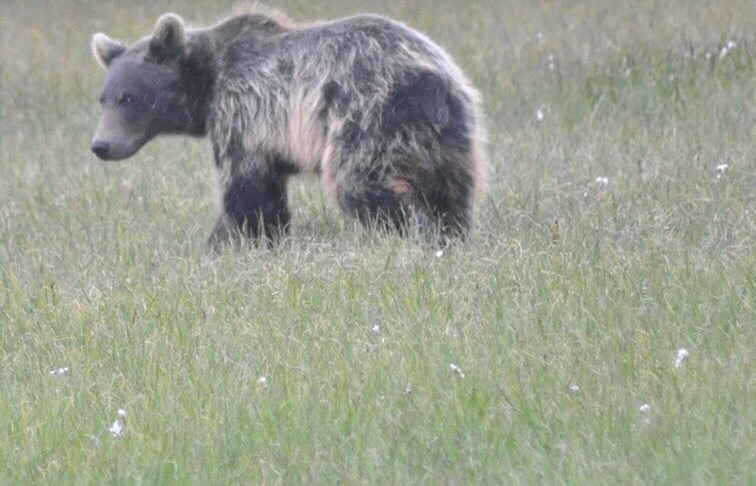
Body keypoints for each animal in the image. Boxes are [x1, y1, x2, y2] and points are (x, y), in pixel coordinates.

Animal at [90, 6, 487, 249]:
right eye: (103, 98)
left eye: (129, 98)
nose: (101, 145)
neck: (208, 86)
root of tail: (435, 80)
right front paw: (222, 242)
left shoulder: (245, 113)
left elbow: (248, 191)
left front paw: (245, 240)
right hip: (448, 140)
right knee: (450, 193)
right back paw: (450, 234)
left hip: (371, 115)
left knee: (361, 184)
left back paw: (408, 233)